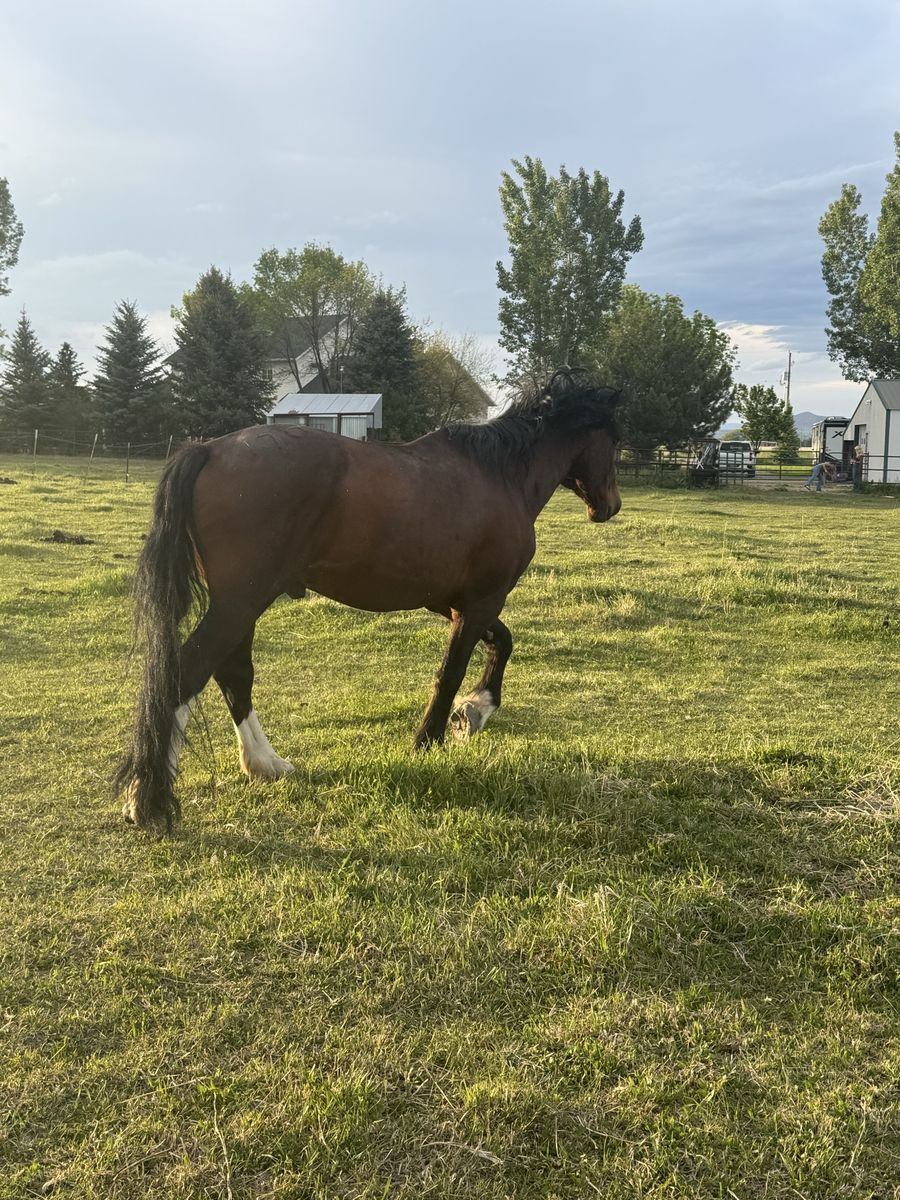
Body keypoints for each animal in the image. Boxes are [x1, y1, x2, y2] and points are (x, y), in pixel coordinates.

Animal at [116, 369, 622, 831]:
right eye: (615, 441)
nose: (609, 505)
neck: (500, 476)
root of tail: (209, 449)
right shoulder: (481, 601)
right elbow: (452, 671)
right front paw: (434, 736)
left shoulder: (452, 601)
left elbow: (502, 642)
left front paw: (474, 712)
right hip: (240, 602)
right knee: (189, 672)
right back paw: (149, 799)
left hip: (240, 605)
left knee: (231, 673)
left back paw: (264, 764)